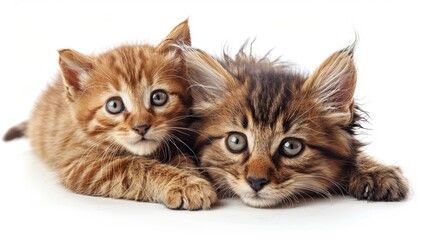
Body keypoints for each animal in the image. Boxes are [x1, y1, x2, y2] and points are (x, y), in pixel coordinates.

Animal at [2, 21, 217, 211]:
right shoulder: (80, 164)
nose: (141, 127)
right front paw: (184, 183)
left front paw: (191, 174)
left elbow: (181, 157)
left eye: (158, 97)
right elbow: (136, 167)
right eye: (114, 105)